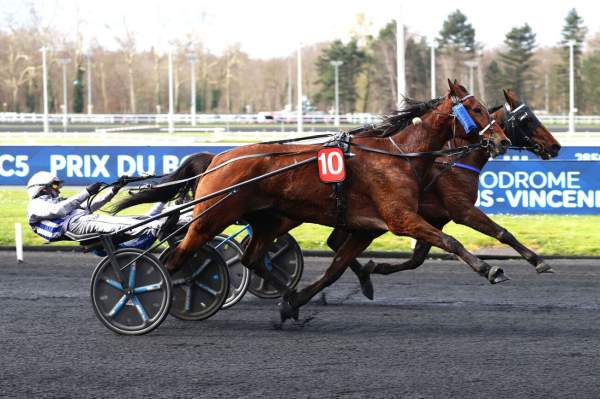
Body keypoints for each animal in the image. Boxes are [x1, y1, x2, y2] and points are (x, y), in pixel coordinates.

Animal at [154, 80, 506, 322]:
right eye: (477, 109)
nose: (501, 140)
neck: (399, 156)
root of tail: (218, 158)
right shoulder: (400, 219)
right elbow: (450, 241)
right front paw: (489, 269)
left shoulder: (366, 228)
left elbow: (335, 269)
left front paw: (295, 303)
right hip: (210, 217)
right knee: (176, 258)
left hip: (267, 220)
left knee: (251, 258)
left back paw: (287, 294)